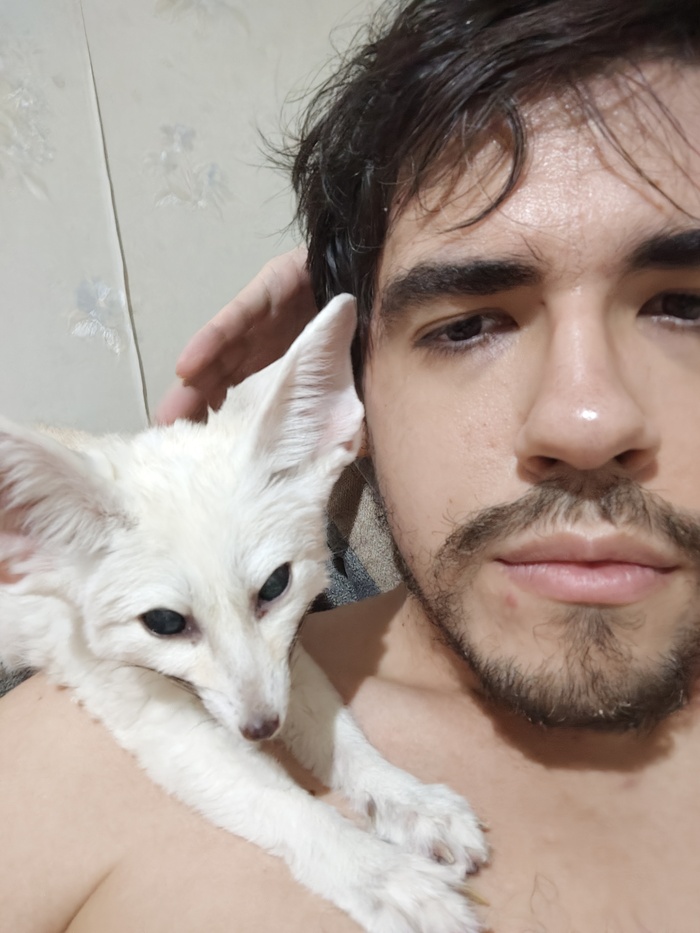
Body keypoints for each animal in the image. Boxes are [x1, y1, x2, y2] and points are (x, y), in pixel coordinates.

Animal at [0, 294, 487, 932]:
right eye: (164, 623)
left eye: (275, 585)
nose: (261, 729)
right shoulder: (143, 706)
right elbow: (281, 803)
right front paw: (384, 876)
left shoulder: (285, 657)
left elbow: (342, 737)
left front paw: (406, 800)